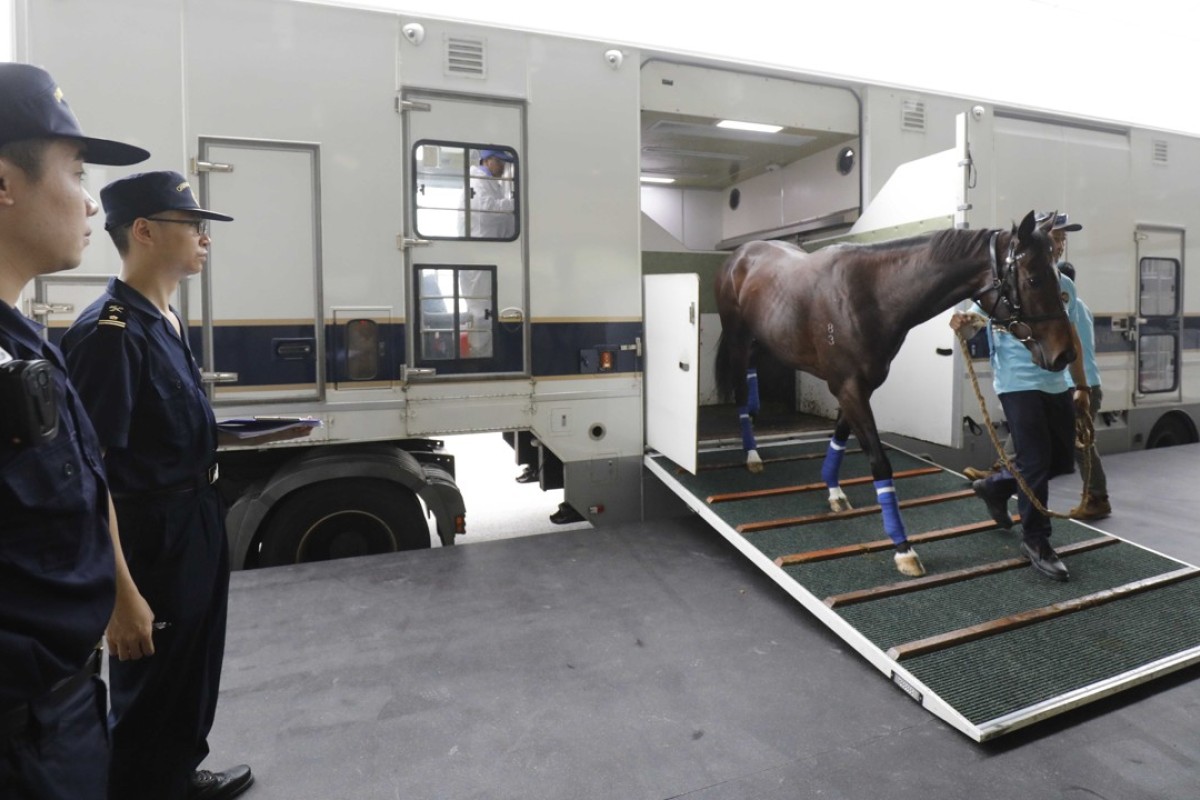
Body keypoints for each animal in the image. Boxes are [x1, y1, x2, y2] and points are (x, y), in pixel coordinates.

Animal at [715, 212, 1075, 575]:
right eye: (1033, 280)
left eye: (1057, 276)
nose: (1064, 354)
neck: (872, 294)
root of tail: (740, 254)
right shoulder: (849, 386)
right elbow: (879, 462)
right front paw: (903, 548)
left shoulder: (859, 385)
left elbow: (841, 435)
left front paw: (833, 490)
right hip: (738, 338)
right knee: (741, 392)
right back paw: (752, 454)